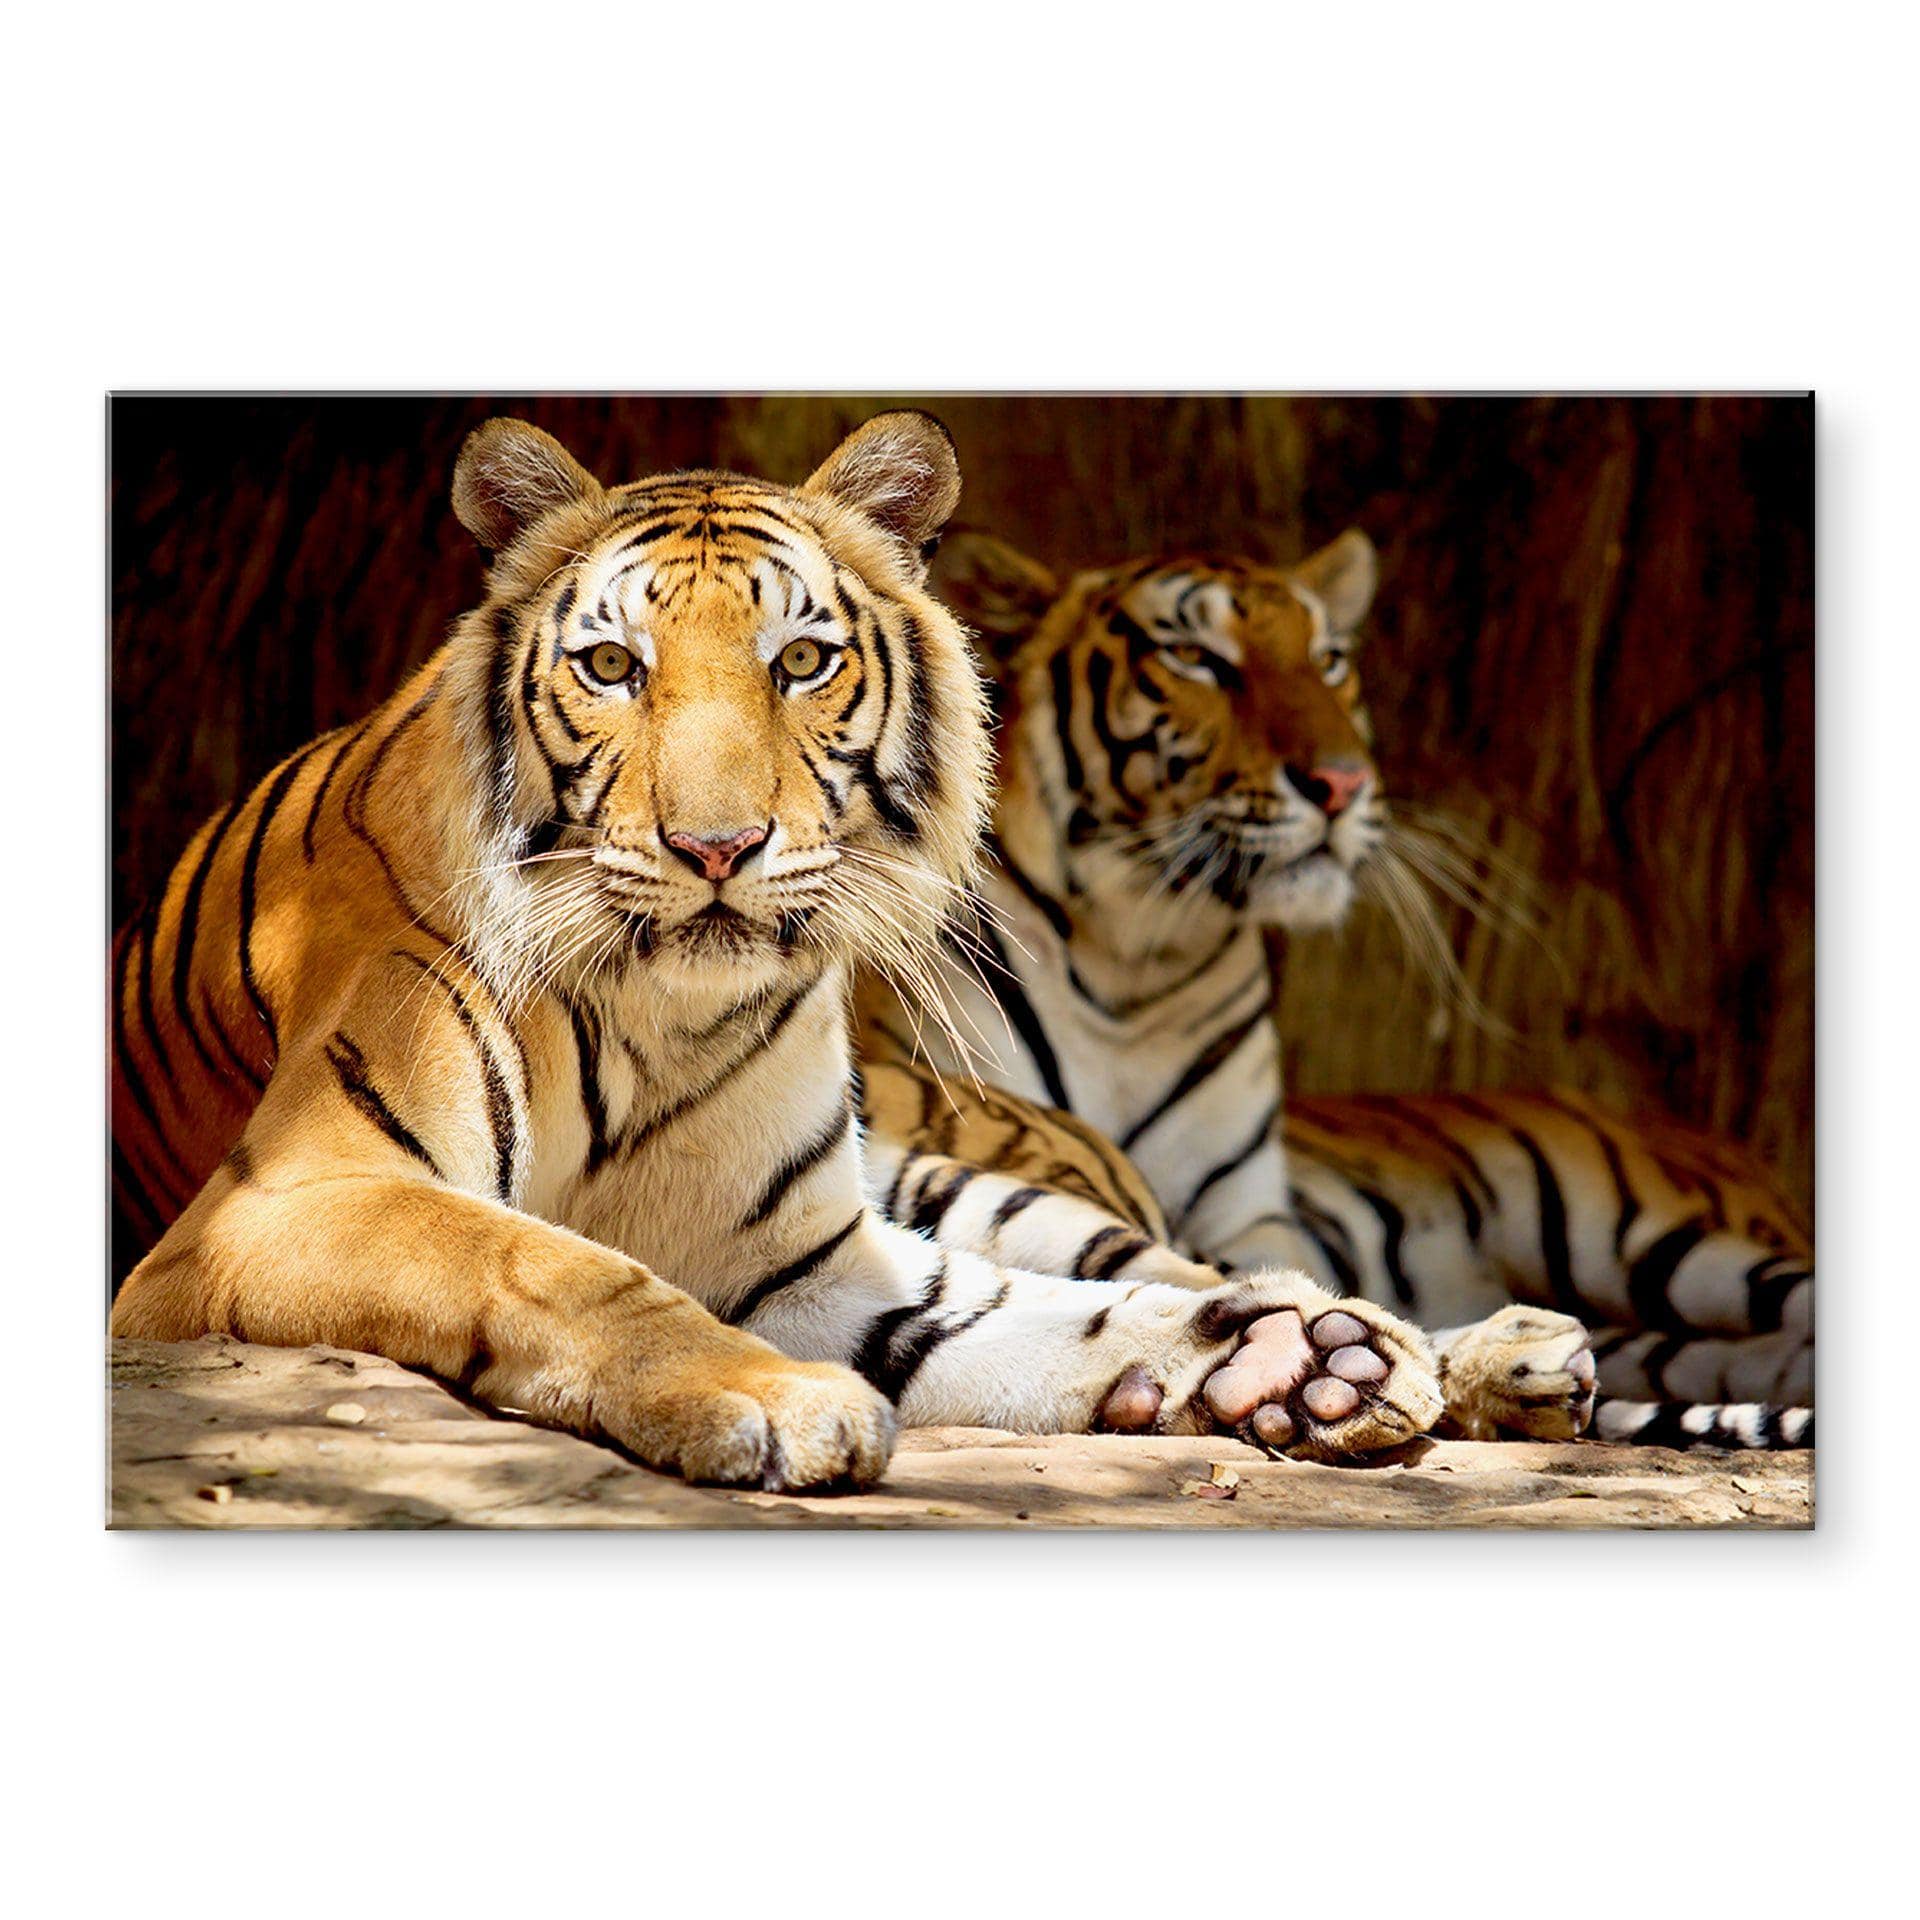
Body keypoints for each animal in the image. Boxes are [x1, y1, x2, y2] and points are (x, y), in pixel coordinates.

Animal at [110, 411, 1451, 1493]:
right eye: (613, 667)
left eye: (801, 661)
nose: (717, 847)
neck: (659, 1012)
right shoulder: (283, 1199)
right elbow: (550, 1261)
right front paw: (776, 1399)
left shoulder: (809, 1264)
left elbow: (1015, 1317)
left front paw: (1286, 1359)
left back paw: (1349, 1339)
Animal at [856, 525, 1814, 1451]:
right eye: (1196, 657)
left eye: (1329, 661)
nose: (1342, 783)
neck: (1139, 960)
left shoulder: (1249, 1215)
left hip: (1665, 1240)